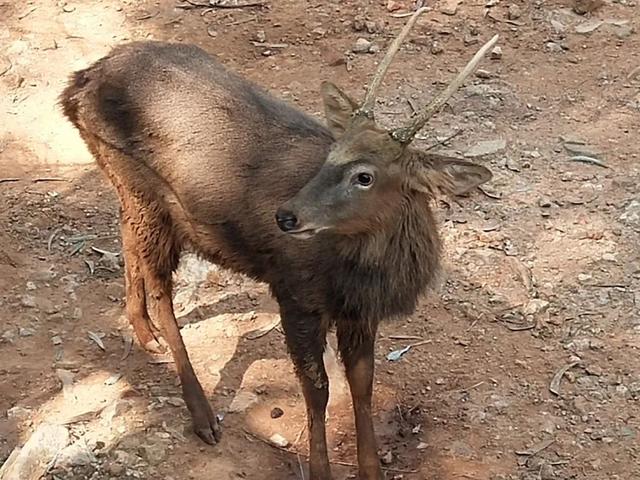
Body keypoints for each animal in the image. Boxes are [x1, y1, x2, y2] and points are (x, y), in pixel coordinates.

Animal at [60, 8, 498, 480]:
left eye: (365, 175)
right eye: (331, 155)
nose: (286, 216)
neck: (360, 275)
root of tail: (78, 84)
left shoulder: (360, 312)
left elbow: (362, 385)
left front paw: (371, 470)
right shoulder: (295, 291)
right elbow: (317, 389)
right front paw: (321, 470)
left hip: (127, 185)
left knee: (126, 237)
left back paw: (143, 333)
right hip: (143, 188)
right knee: (161, 289)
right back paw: (202, 414)